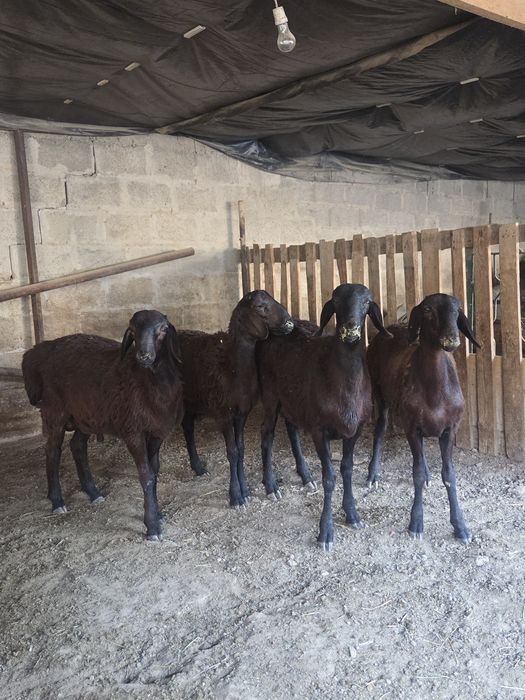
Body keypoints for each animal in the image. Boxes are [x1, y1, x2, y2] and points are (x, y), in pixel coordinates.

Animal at [22, 310, 183, 541]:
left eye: (162, 330)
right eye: (132, 330)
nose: (143, 356)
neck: (148, 382)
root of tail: (38, 350)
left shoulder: (157, 434)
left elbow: (155, 472)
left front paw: (157, 513)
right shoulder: (133, 431)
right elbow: (146, 475)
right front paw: (152, 526)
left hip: (85, 415)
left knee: (77, 446)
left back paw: (93, 492)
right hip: (54, 411)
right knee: (52, 451)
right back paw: (57, 501)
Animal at [178, 290, 294, 507]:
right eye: (260, 307)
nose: (290, 323)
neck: (231, 367)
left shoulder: (242, 412)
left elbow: (240, 449)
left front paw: (245, 490)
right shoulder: (222, 412)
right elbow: (231, 451)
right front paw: (236, 496)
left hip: (192, 401)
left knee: (188, 428)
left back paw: (198, 468)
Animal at [258, 283, 390, 551]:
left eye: (366, 302)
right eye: (336, 301)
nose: (350, 329)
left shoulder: (355, 429)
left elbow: (347, 469)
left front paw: (352, 515)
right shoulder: (320, 430)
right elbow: (329, 478)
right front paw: (326, 531)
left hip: (293, 398)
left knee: (291, 429)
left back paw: (306, 476)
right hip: (270, 394)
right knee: (266, 435)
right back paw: (271, 486)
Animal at [366, 293, 479, 543]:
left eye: (457, 310)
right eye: (427, 310)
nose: (451, 339)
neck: (435, 392)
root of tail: (390, 327)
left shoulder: (450, 429)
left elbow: (449, 475)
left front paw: (461, 527)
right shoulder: (411, 426)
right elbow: (416, 474)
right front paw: (416, 523)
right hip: (379, 392)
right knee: (380, 429)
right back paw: (372, 473)